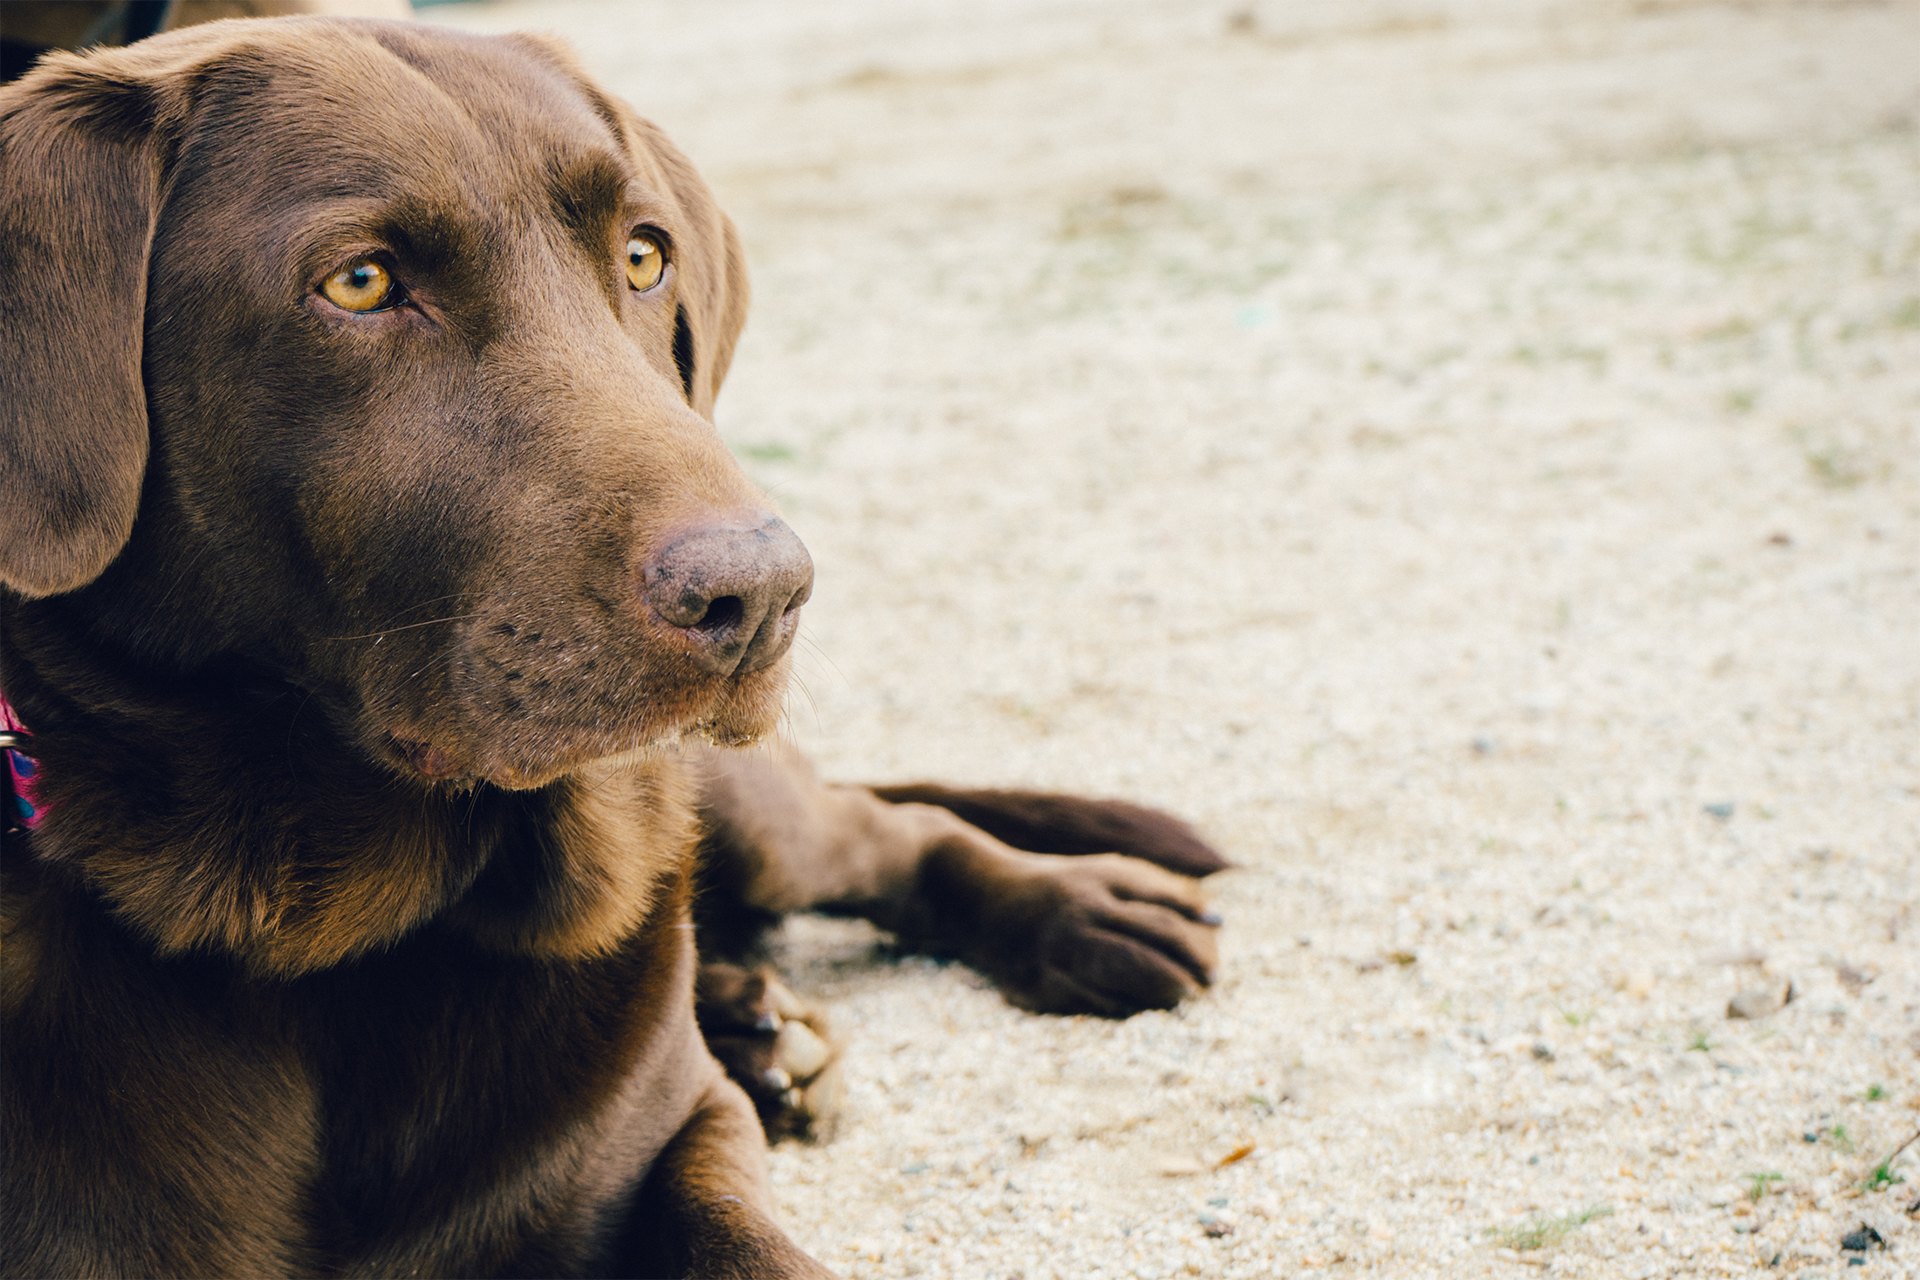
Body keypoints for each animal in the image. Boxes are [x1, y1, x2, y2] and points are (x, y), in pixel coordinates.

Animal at [0, 14, 1228, 1274]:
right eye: (360, 281)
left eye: (644, 258)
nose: (761, 592)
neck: (342, 940)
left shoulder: (678, 1129)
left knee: (888, 830)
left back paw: (1078, 913)